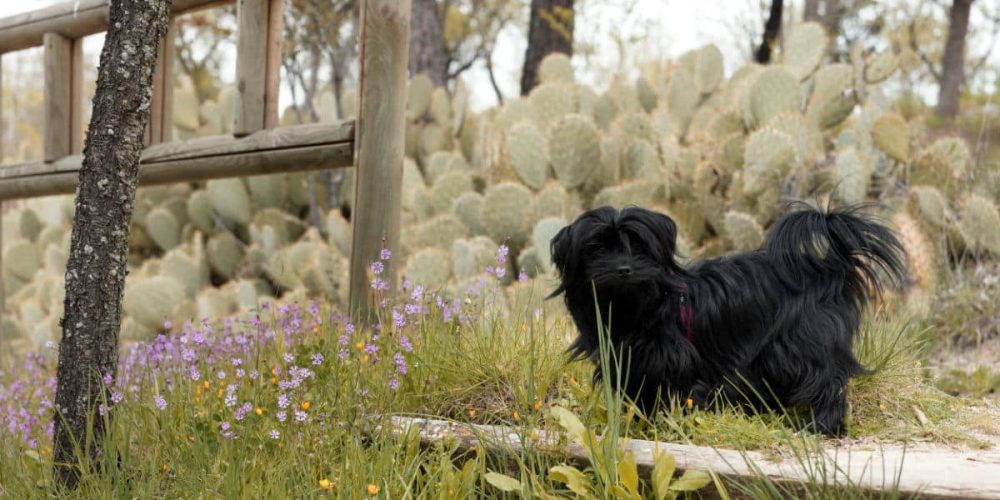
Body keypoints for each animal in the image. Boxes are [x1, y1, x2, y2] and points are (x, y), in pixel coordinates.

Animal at [552, 205, 904, 436]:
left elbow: (678, 397)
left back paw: (821, 426)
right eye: (597, 249)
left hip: (799, 347)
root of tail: (828, 270)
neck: (635, 311)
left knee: (828, 381)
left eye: (639, 247)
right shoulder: (631, 367)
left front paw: (669, 430)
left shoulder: (682, 369)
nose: (624, 268)